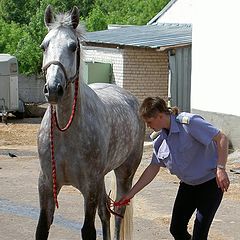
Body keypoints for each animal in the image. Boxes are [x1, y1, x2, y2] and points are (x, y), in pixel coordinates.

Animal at [35, 5, 144, 240]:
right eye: (44, 45)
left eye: (73, 46)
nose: (54, 89)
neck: (66, 131)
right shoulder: (46, 184)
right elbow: (42, 227)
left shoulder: (90, 186)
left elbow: (88, 230)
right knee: (106, 213)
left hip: (124, 173)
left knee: (118, 213)